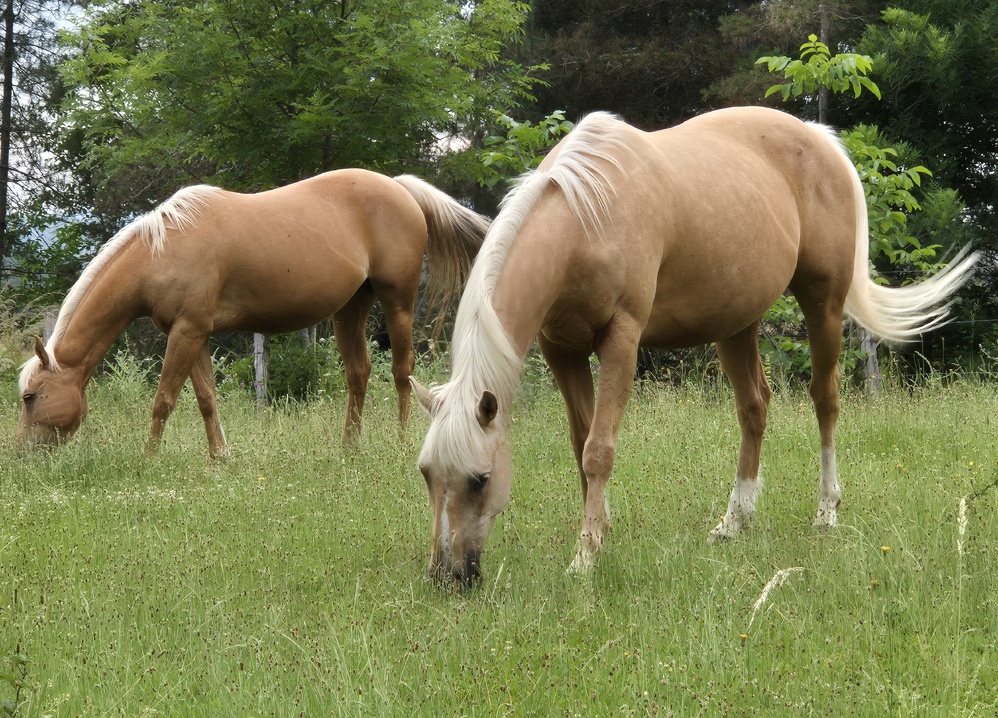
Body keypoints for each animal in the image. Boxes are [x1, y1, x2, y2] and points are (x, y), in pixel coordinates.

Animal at [17, 169, 489, 458]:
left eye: (30, 396)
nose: (21, 453)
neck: (162, 250)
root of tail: (400, 187)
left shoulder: (186, 334)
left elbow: (163, 400)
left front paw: (149, 459)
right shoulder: (194, 334)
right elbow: (206, 400)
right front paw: (219, 459)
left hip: (398, 302)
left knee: (402, 371)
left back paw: (402, 441)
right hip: (350, 310)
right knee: (359, 373)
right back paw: (348, 449)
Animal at [411, 106, 978, 585]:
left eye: (480, 479)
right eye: (426, 475)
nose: (446, 576)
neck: (586, 213)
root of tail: (820, 138)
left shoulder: (622, 339)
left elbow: (599, 450)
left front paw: (584, 558)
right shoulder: (560, 349)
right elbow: (580, 443)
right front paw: (601, 532)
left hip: (824, 303)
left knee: (826, 399)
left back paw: (826, 511)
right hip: (736, 324)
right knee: (754, 408)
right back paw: (735, 520)